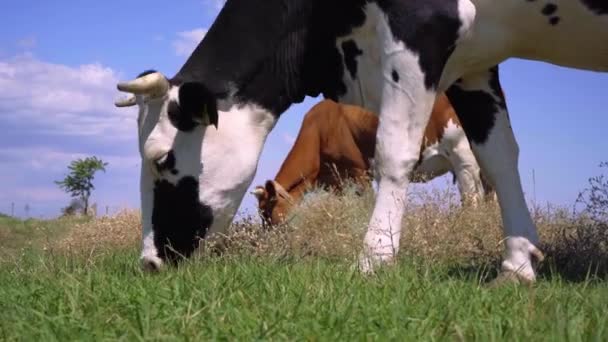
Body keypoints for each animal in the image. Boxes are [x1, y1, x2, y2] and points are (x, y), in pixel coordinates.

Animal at [252, 95, 494, 226]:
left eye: (267, 212)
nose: (267, 239)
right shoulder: (338, 182)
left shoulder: (359, 171)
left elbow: (367, 206)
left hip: (463, 156)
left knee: (472, 200)